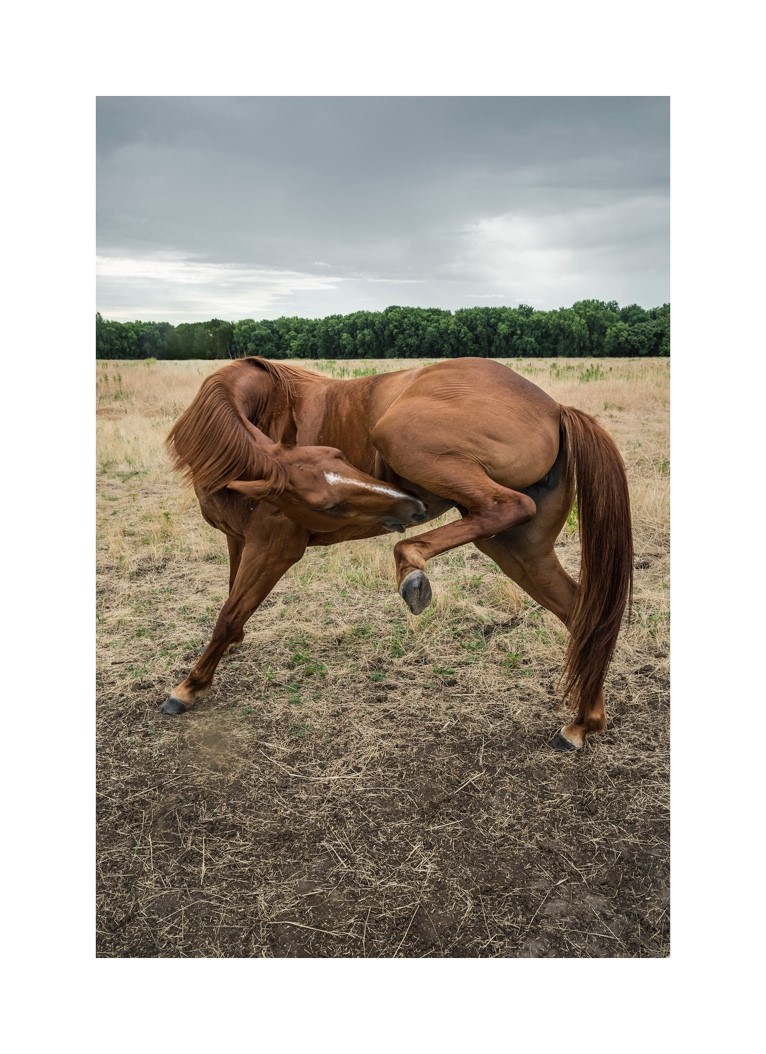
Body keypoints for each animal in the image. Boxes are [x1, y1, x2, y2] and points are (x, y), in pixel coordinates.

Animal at [163, 356, 633, 751]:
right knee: (582, 616)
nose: (412, 506)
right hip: (519, 551)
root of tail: (555, 409)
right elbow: (232, 598)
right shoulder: (238, 539)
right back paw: (582, 724)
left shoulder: (275, 548)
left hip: (402, 439)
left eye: (341, 456)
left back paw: (411, 563)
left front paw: (188, 687)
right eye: (327, 502)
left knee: (508, 507)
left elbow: (229, 614)